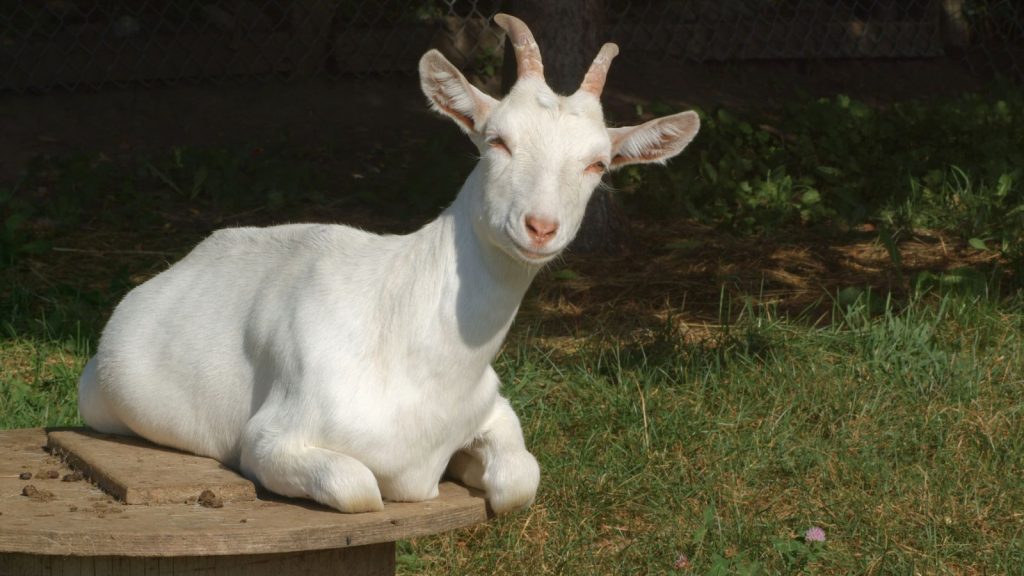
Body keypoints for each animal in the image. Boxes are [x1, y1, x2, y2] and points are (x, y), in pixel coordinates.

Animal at [77, 14, 700, 514]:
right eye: (497, 140)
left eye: (598, 164)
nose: (540, 227)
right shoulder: (270, 440)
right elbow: (361, 490)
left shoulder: (494, 410)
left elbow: (520, 480)